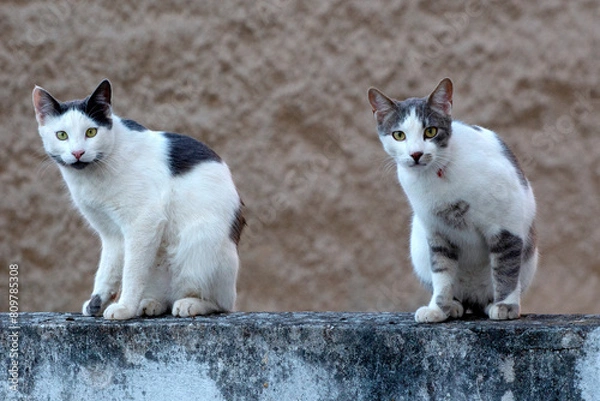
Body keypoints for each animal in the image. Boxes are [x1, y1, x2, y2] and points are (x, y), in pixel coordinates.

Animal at [31, 79, 244, 320]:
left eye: (91, 132)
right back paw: (150, 304)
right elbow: (107, 270)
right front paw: (97, 302)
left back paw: (190, 304)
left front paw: (124, 308)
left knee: (222, 303)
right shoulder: (111, 234)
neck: (92, 176)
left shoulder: (144, 221)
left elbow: (132, 272)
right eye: (62, 135)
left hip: (201, 243)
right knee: (165, 298)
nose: (78, 152)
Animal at [368, 77, 536, 322]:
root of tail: (473, 297)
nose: (416, 154)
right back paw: (455, 306)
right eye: (399, 135)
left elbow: (505, 268)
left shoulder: (506, 225)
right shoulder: (437, 233)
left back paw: (490, 303)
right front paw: (438, 309)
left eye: (430, 131)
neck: (437, 176)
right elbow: (442, 273)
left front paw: (506, 306)